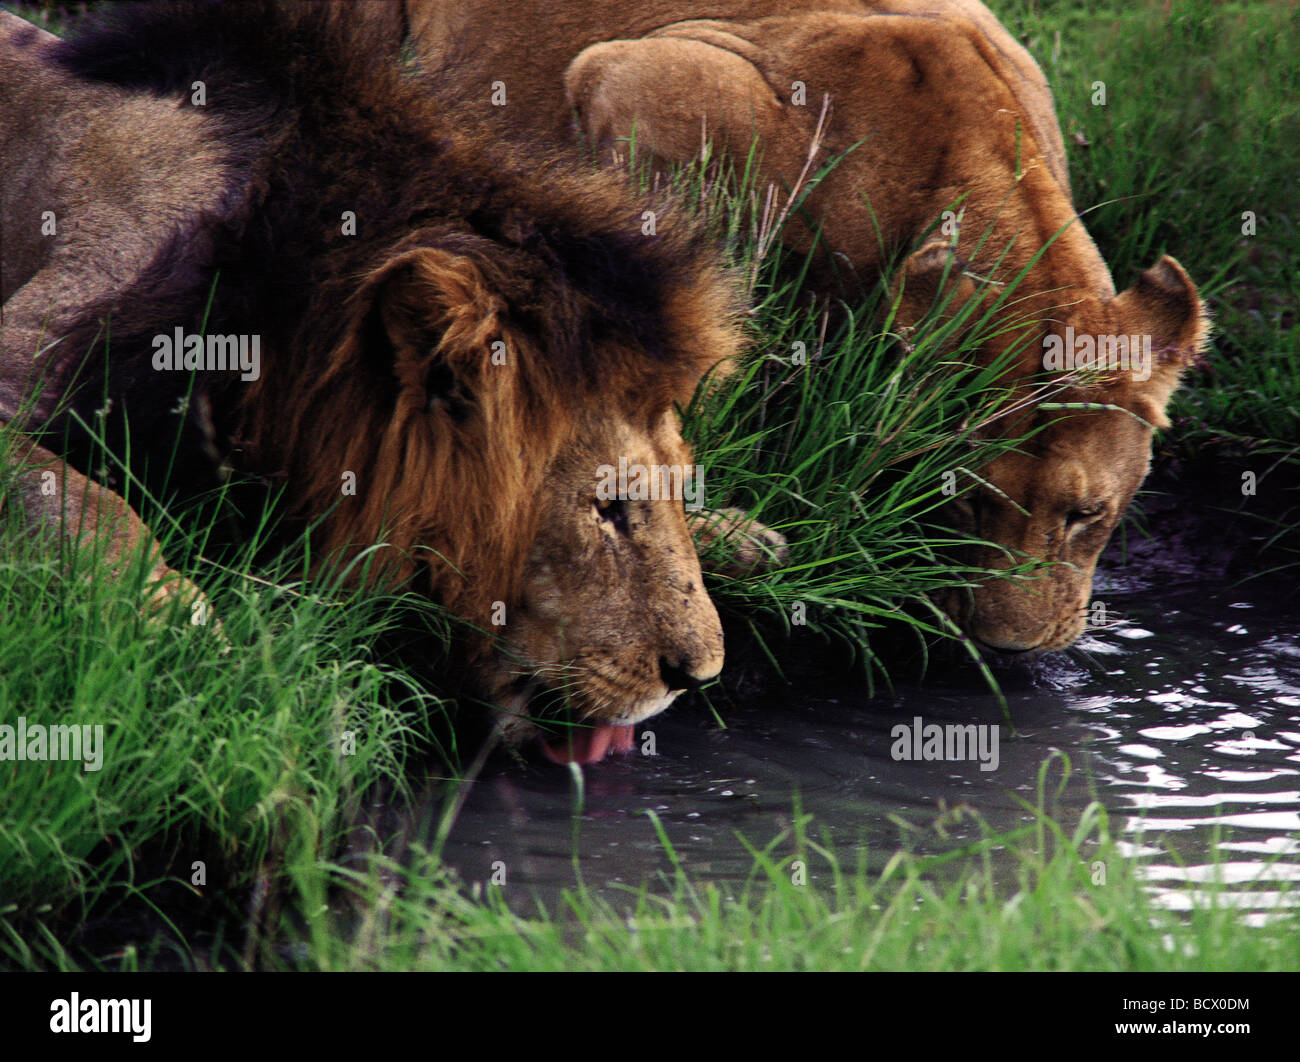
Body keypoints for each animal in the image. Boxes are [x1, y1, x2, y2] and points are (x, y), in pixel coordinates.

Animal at [0, 0, 780, 764]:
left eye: (677, 484)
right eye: (607, 508)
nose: (697, 675)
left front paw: (733, 533)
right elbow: (87, 503)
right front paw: (190, 633)